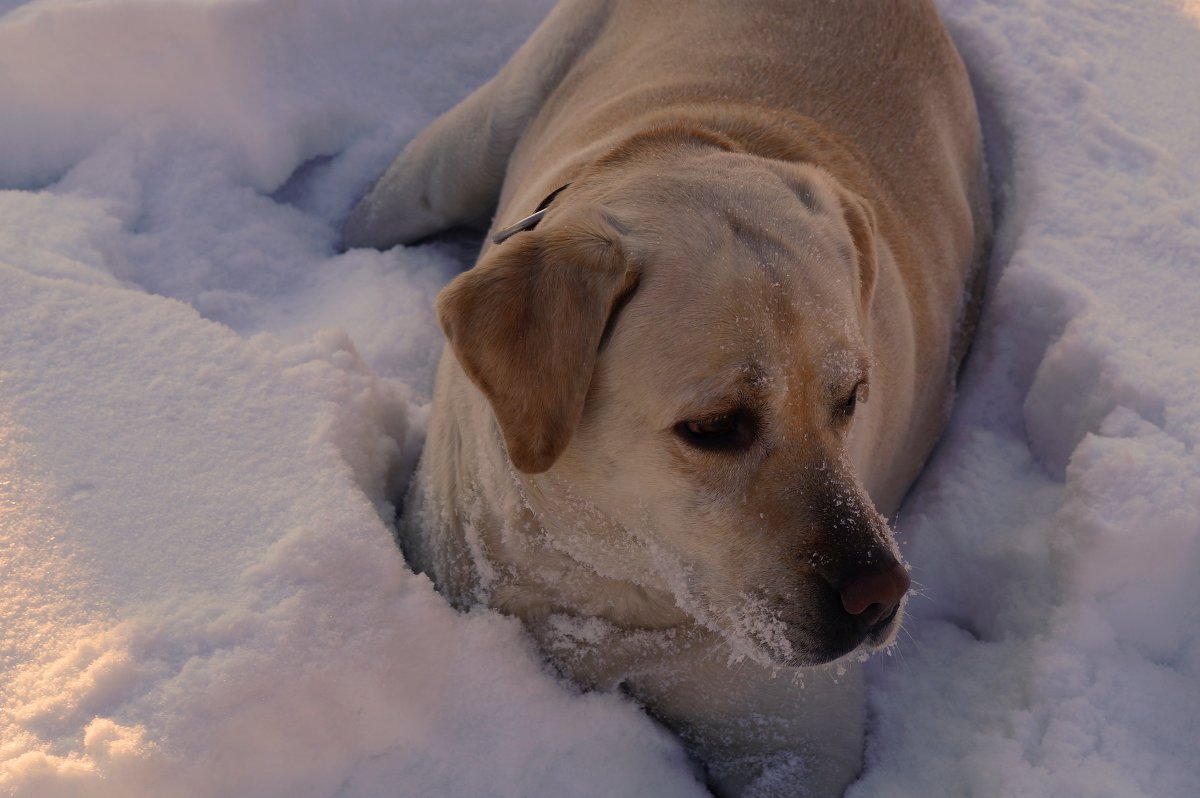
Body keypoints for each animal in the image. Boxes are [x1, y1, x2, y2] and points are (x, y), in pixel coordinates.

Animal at [343, 3, 988, 792]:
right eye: (713, 426)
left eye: (852, 398)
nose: (881, 593)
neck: (604, 585)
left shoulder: (794, 742)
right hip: (455, 157)